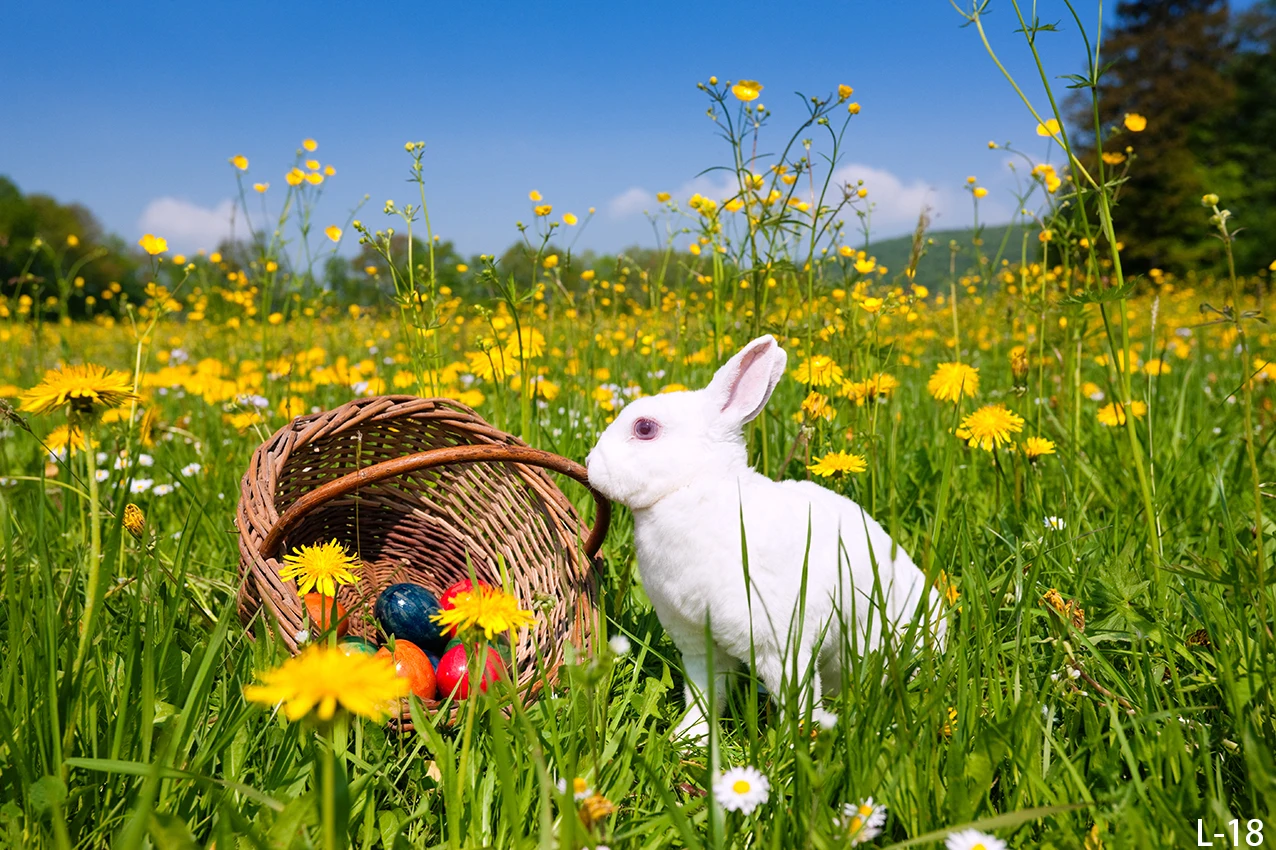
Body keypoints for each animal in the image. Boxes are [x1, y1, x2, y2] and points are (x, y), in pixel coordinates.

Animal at [584, 331, 944, 735]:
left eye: (644, 428)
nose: (590, 463)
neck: (694, 488)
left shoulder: (783, 647)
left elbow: (798, 698)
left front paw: (794, 741)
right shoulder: (698, 647)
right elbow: (704, 695)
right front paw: (689, 736)